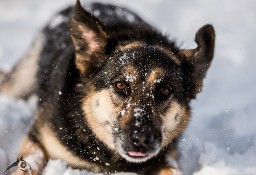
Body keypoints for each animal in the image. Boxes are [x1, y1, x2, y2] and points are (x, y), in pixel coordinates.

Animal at [0, 0, 214, 174]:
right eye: (120, 85)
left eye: (164, 90)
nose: (141, 139)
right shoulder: (36, 140)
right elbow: (30, 164)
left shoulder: (168, 157)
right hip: (22, 80)